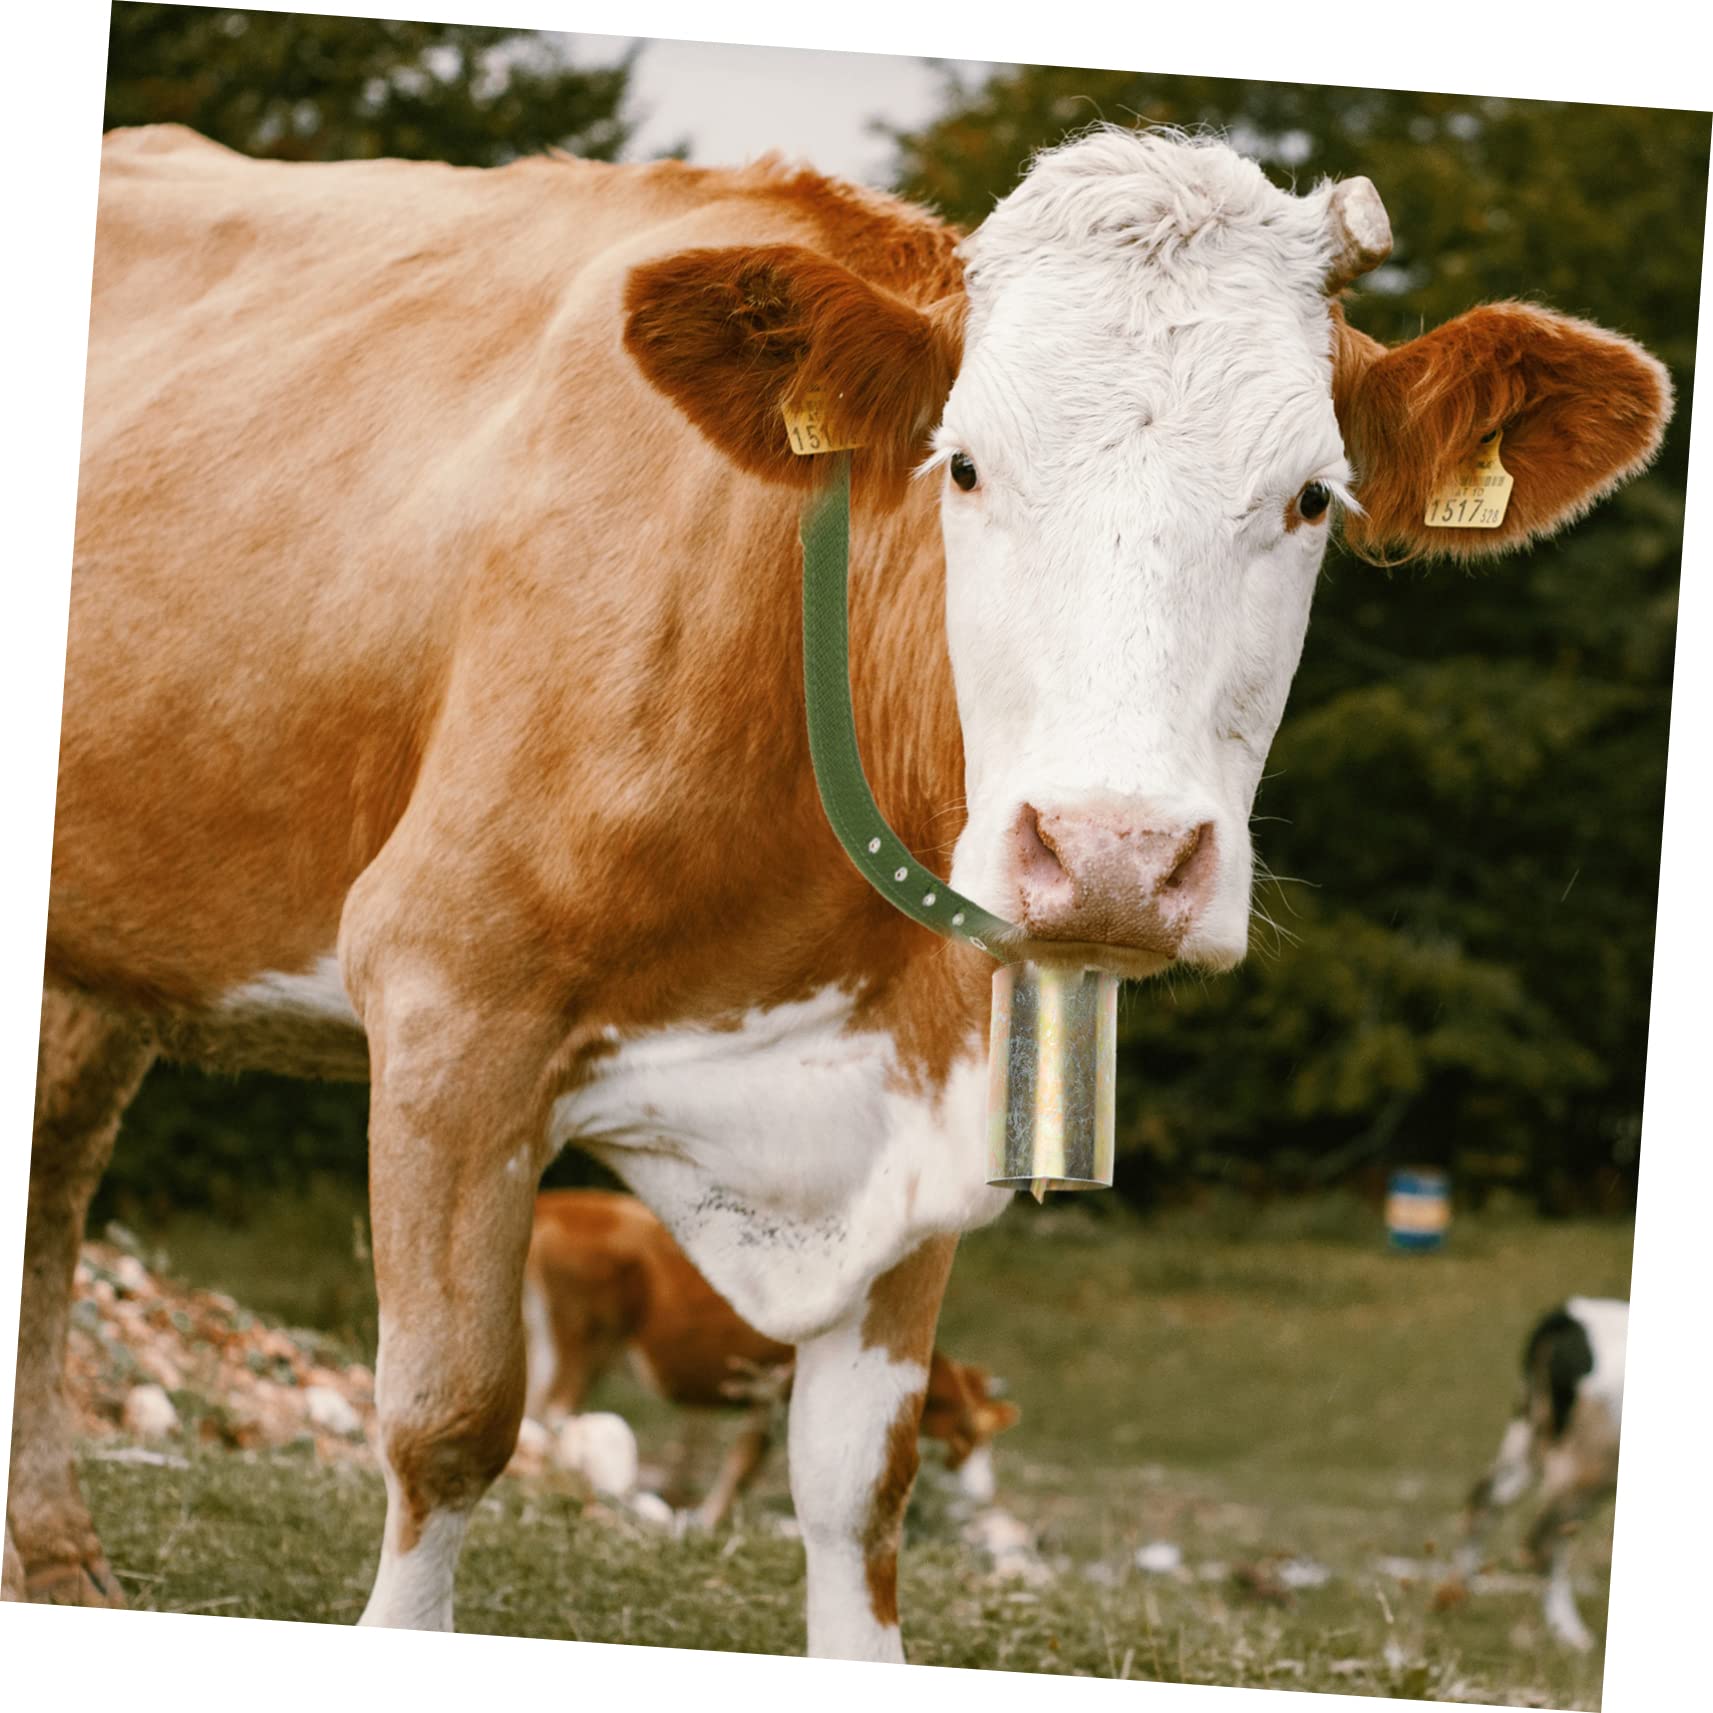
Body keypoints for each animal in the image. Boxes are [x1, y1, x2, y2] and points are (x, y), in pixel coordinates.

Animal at [523, 1188, 1021, 1524]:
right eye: (968, 1434)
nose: (984, 1493)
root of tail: (556, 1203)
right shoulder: (776, 1390)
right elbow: (747, 1464)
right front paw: (708, 1524)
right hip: (583, 1343)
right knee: (555, 1415)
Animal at [1455, 1298, 1628, 1651]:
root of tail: (1565, 1317)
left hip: (1525, 1437)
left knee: (1483, 1502)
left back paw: (1455, 1601)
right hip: (1591, 1461)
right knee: (1544, 1539)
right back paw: (1572, 1636)